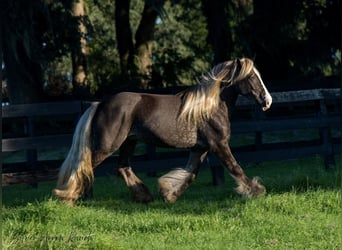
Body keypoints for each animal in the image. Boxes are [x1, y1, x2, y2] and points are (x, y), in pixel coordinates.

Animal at [53, 58, 272, 205]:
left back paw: (144, 196)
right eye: (252, 76)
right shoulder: (218, 144)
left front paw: (169, 195)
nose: (267, 101)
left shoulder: (200, 148)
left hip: (128, 142)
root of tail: (100, 104)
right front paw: (257, 190)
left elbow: (190, 174)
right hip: (107, 146)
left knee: (122, 167)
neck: (209, 107)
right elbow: (235, 167)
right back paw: (68, 198)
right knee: (84, 166)